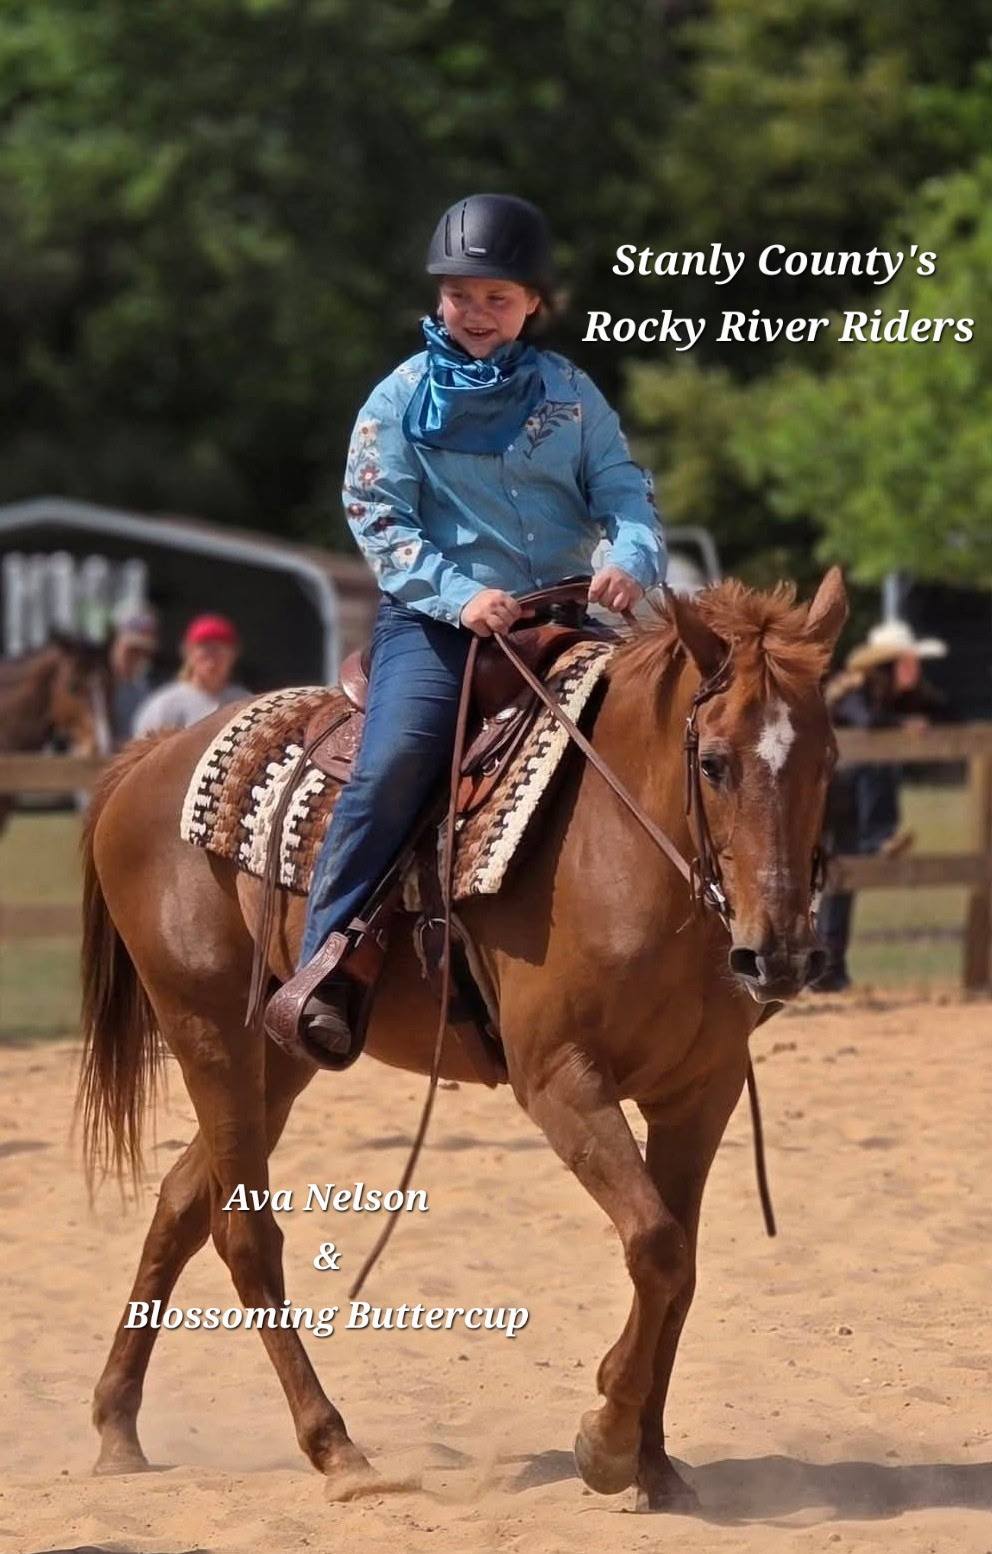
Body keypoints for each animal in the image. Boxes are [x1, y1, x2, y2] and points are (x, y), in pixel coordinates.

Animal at [77, 569, 847, 1509]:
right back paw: (335, 1449)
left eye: (827, 760)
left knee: (184, 1204)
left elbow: (679, 1262)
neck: (622, 844)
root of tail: (148, 758)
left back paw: (118, 1425)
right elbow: (658, 1246)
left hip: (276, 1059)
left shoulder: (700, 1092)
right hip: (206, 1031)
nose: (780, 954)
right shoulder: (561, 1081)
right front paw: (606, 1439)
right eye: (714, 762)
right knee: (244, 1235)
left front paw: (655, 1466)